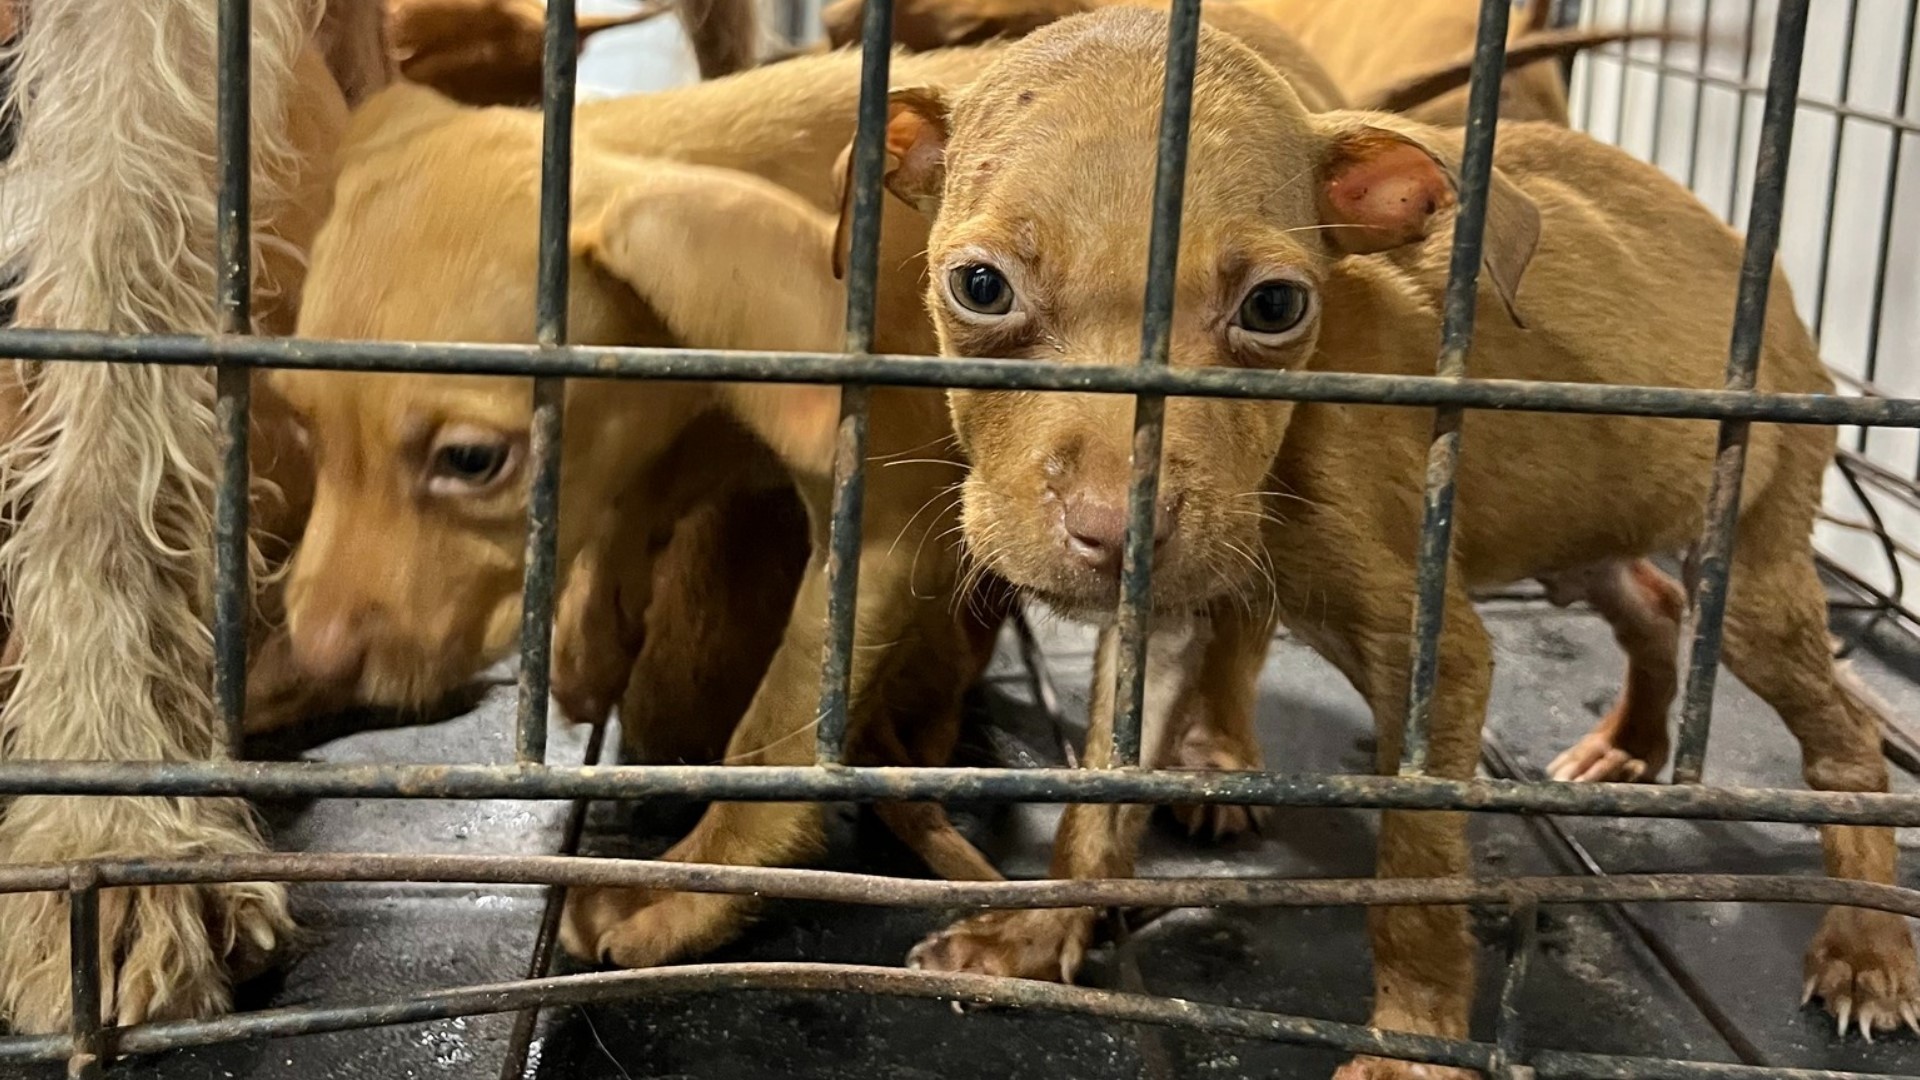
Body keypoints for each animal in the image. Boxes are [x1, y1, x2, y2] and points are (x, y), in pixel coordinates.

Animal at [875, 8, 1920, 1068]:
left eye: (1276, 306)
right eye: (979, 286)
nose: (1112, 529)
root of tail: (1767, 284)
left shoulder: (1434, 661)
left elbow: (1416, 876)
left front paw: (1414, 1042)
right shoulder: (1160, 624)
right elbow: (1095, 806)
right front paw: (1033, 934)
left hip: (1749, 572)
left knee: (1845, 742)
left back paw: (1867, 941)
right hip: (1588, 540)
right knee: (1651, 608)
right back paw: (1625, 745)